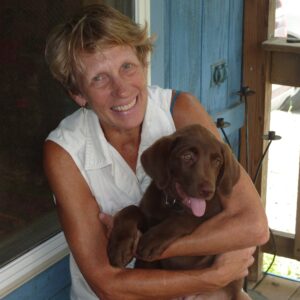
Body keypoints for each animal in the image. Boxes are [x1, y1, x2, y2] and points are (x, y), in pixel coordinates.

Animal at [108, 123, 244, 298]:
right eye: (187, 156)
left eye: (218, 161)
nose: (208, 191)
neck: (172, 205)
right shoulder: (148, 216)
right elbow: (129, 210)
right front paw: (119, 247)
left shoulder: (209, 213)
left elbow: (184, 218)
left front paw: (152, 240)